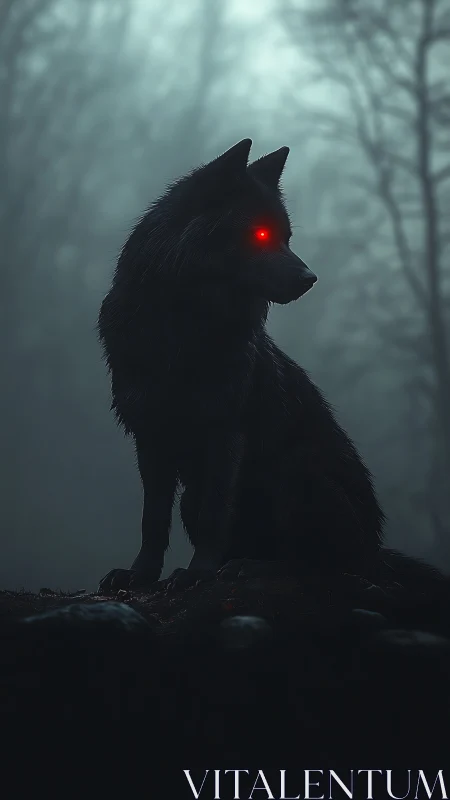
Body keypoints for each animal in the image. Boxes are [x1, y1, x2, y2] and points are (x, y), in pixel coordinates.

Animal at [97, 139, 441, 595]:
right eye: (260, 234)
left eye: (287, 237)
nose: (311, 278)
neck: (183, 326)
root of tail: (374, 552)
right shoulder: (150, 435)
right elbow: (152, 520)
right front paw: (139, 575)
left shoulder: (226, 431)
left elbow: (214, 514)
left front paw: (198, 573)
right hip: (195, 494)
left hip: (296, 474)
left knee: (316, 565)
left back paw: (246, 569)